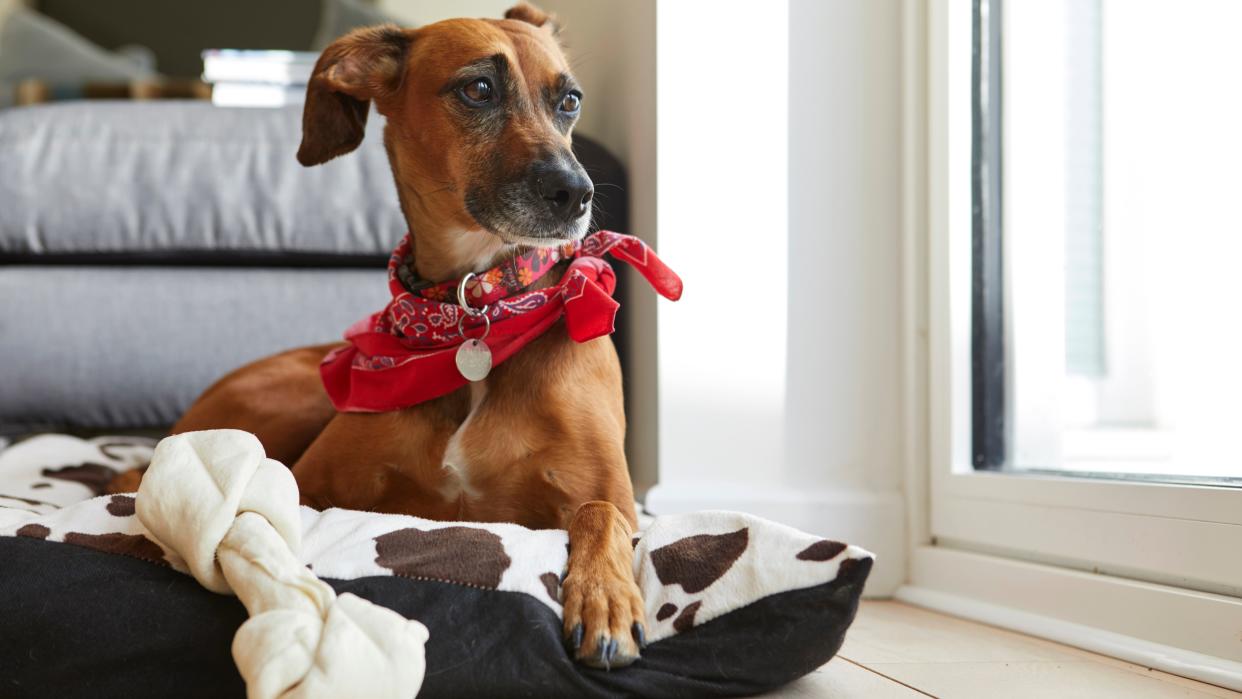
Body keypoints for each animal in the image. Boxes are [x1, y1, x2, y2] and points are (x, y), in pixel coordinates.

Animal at [119, 4, 650, 670]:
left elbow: (601, 513)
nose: (577, 194)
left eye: (570, 100)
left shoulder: (612, 494)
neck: (472, 314)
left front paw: (606, 599)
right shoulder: (314, 486)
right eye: (479, 89)